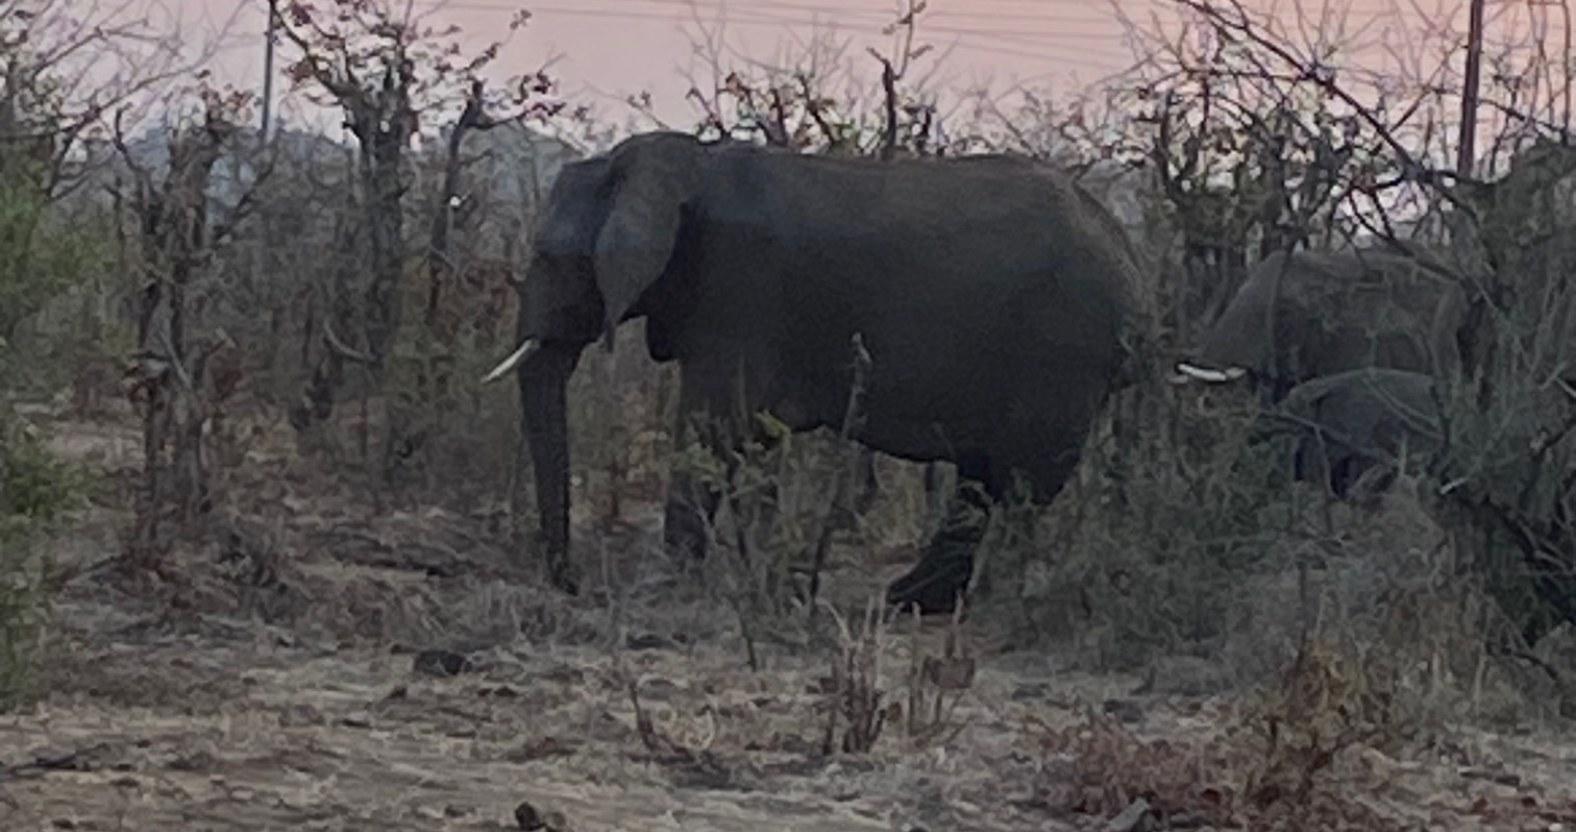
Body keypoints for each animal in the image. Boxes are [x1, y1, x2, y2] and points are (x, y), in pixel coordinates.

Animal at [485, 130, 1142, 613]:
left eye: (553, 259)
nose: (572, 585)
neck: (684, 163)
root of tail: (1127, 255)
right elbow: (749, 439)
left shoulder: (739, 290)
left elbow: (712, 428)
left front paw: (667, 588)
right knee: (981, 480)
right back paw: (910, 600)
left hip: (1063, 350)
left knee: (1023, 482)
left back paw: (984, 606)